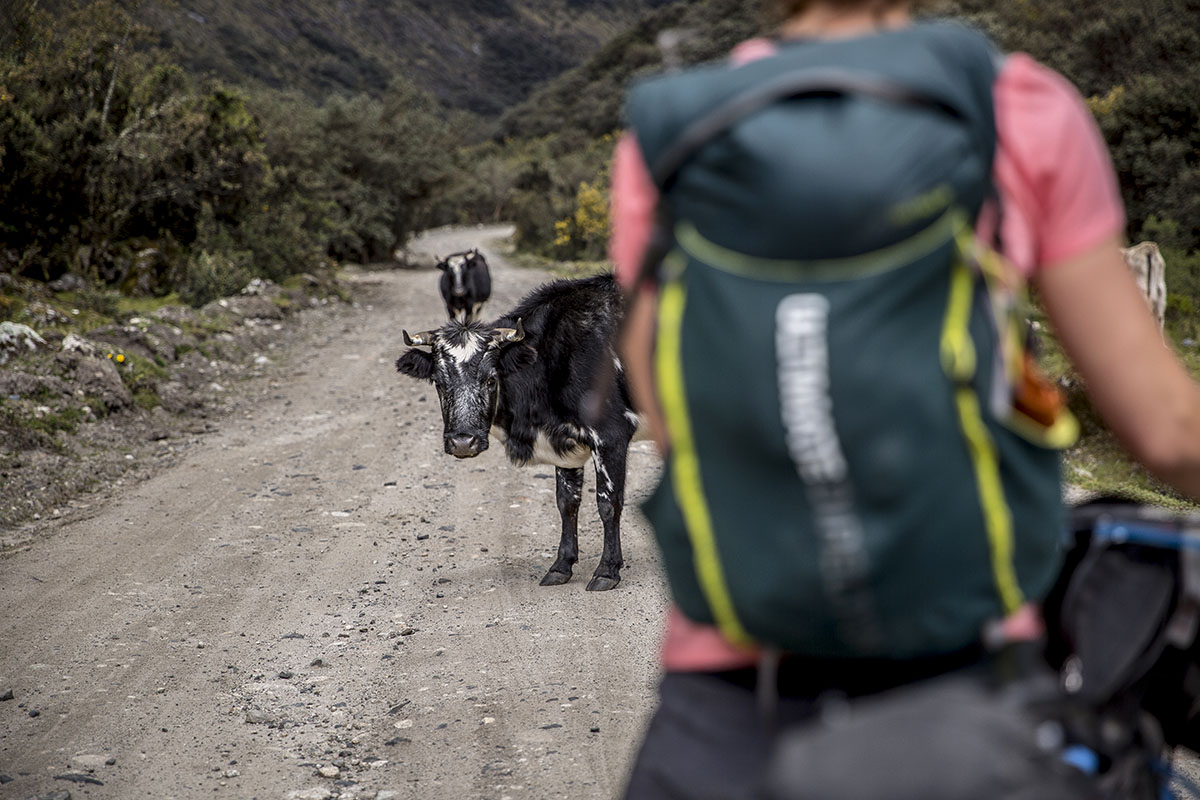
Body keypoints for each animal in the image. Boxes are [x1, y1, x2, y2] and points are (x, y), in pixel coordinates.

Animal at [393, 272, 638, 592]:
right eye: (438, 382)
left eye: (491, 379)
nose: (463, 442)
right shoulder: (566, 445)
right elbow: (567, 503)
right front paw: (561, 566)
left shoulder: (611, 435)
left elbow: (608, 503)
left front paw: (607, 570)